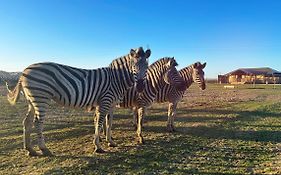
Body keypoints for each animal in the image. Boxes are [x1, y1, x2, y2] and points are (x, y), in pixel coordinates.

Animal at [6, 47, 150, 155]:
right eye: (133, 65)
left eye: (146, 65)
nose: (140, 87)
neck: (115, 79)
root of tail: (24, 71)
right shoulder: (105, 101)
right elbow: (99, 123)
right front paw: (98, 146)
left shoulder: (112, 104)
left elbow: (109, 124)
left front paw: (111, 142)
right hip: (41, 98)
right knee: (37, 122)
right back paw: (44, 149)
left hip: (32, 101)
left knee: (27, 122)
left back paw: (30, 149)